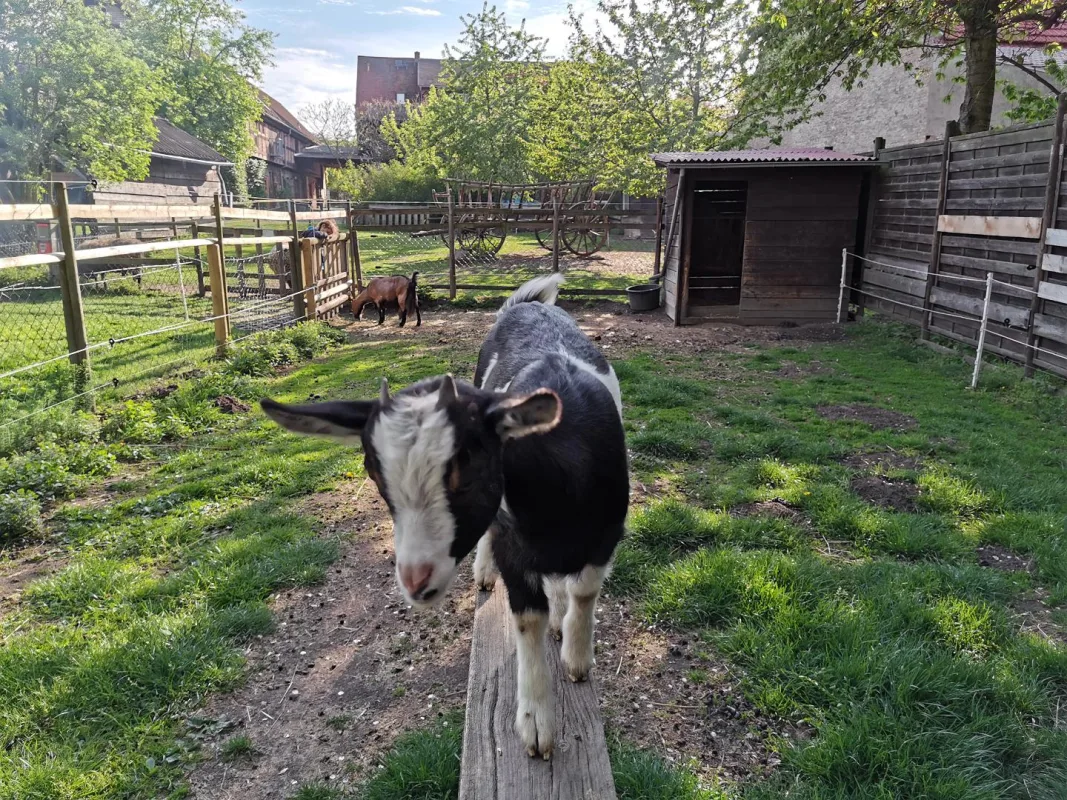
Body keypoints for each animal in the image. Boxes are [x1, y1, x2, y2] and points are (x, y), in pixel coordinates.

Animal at [260, 274, 628, 759]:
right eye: (374, 474)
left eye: (467, 470)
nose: (416, 580)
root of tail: (528, 304)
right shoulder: (514, 544)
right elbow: (528, 617)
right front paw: (535, 725)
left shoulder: (607, 532)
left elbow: (585, 591)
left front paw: (577, 657)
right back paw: (486, 574)